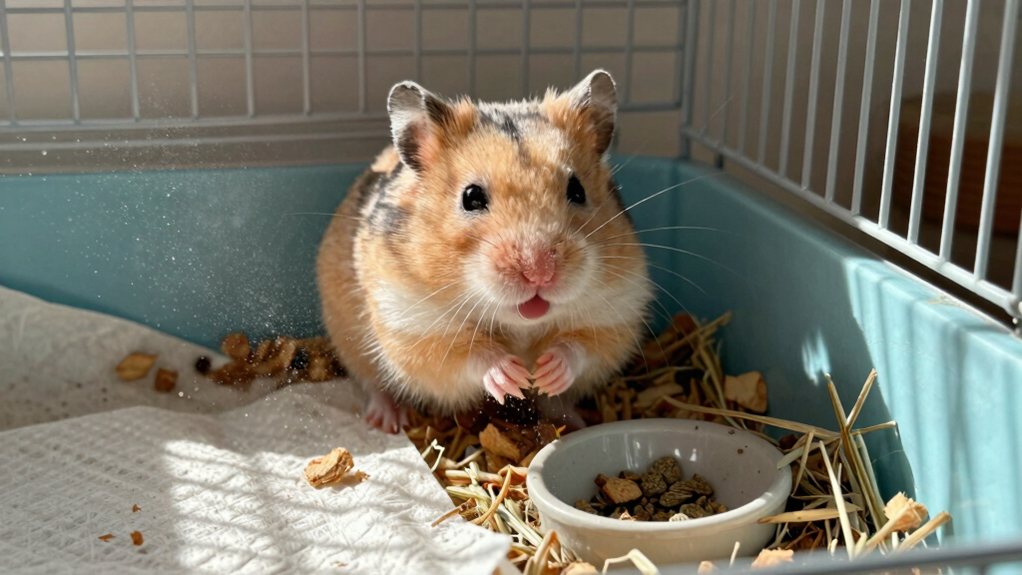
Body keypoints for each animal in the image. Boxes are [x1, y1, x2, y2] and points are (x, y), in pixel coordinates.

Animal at [316, 69, 653, 432]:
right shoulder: (415, 324)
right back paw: (389, 420)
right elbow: (472, 356)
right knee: (374, 384)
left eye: (577, 190)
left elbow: (579, 347)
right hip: (352, 343)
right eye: (471, 197)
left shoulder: (614, 313)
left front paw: (546, 372)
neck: (520, 325)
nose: (539, 272)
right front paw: (513, 377)